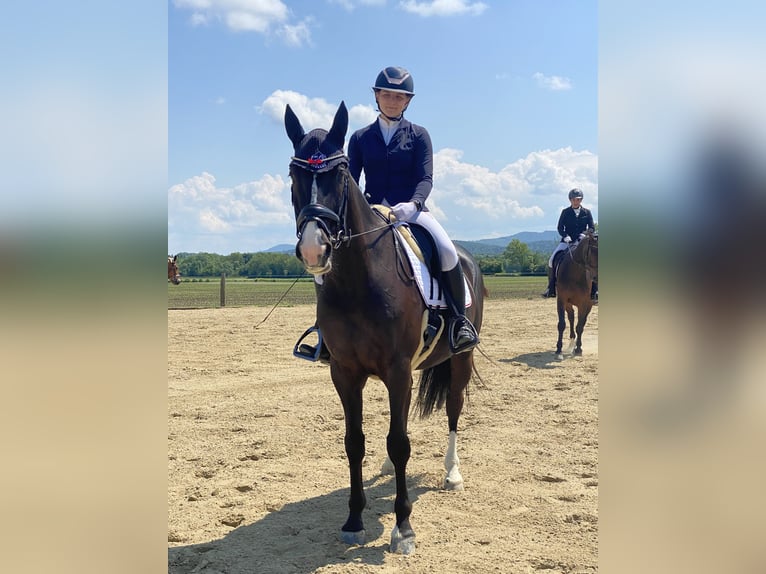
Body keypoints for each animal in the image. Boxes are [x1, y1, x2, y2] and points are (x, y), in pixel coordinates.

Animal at [284, 101, 488, 556]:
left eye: (340, 175)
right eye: (293, 175)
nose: (314, 250)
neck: (358, 281)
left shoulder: (397, 370)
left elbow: (400, 443)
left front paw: (403, 528)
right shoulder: (344, 371)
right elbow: (355, 441)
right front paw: (354, 520)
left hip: (460, 359)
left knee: (453, 409)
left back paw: (452, 474)